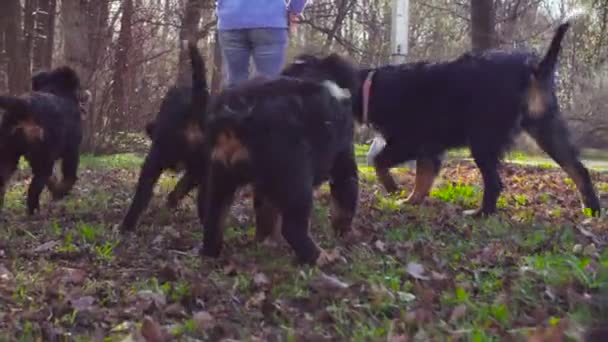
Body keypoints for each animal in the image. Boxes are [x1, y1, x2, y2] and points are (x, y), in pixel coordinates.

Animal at [0, 66, 83, 214]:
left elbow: (52, 179)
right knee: (34, 189)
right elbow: (69, 176)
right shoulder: (72, 150)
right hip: (43, 158)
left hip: (7, 153)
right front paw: (60, 193)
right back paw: (35, 213)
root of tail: (24, 106)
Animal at [202, 71, 358, 264]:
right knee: (293, 228)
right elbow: (346, 192)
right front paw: (345, 233)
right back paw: (322, 257)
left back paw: (210, 254)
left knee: (215, 213)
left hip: (222, 172)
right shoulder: (342, 157)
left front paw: (265, 242)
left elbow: (266, 211)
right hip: (297, 176)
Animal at [282, 23, 600, 216]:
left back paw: (480, 214)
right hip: (546, 127)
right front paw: (410, 200)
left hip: (483, 138)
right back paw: (592, 211)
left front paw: (393, 189)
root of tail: (535, 68)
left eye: (298, 71)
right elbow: (422, 178)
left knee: (495, 182)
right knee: (579, 169)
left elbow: (379, 161)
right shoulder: (429, 149)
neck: (369, 87)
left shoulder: (409, 141)